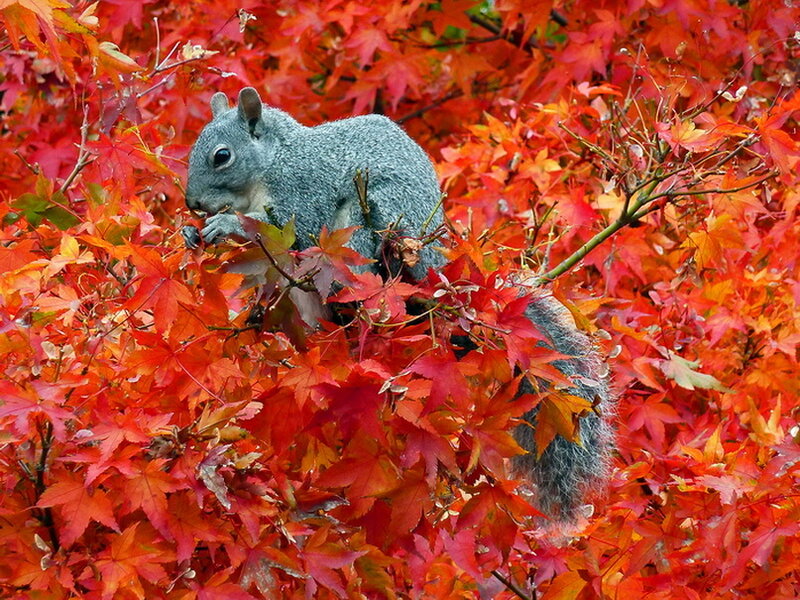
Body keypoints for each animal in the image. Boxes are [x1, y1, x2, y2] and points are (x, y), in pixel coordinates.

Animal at [184, 88, 613, 520]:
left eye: (222, 156)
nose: (192, 203)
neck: (272, 163)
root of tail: (434, 269)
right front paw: (191, 232)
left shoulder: (304, 191)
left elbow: (292, 229)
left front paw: (229, 225)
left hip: (375, 217)